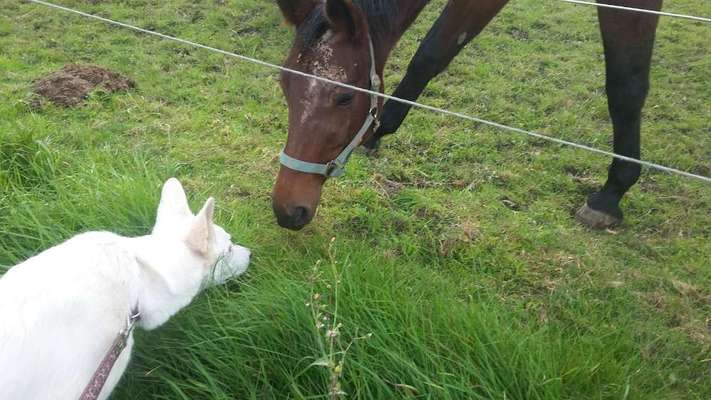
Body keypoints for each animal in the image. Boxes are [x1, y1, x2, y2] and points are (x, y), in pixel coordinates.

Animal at [272, 0, 660, 230]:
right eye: (285, 85)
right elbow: (432, 52)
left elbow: (626, 84)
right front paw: (380, 133)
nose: (287, 210)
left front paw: (611, 193)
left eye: (344, 97)